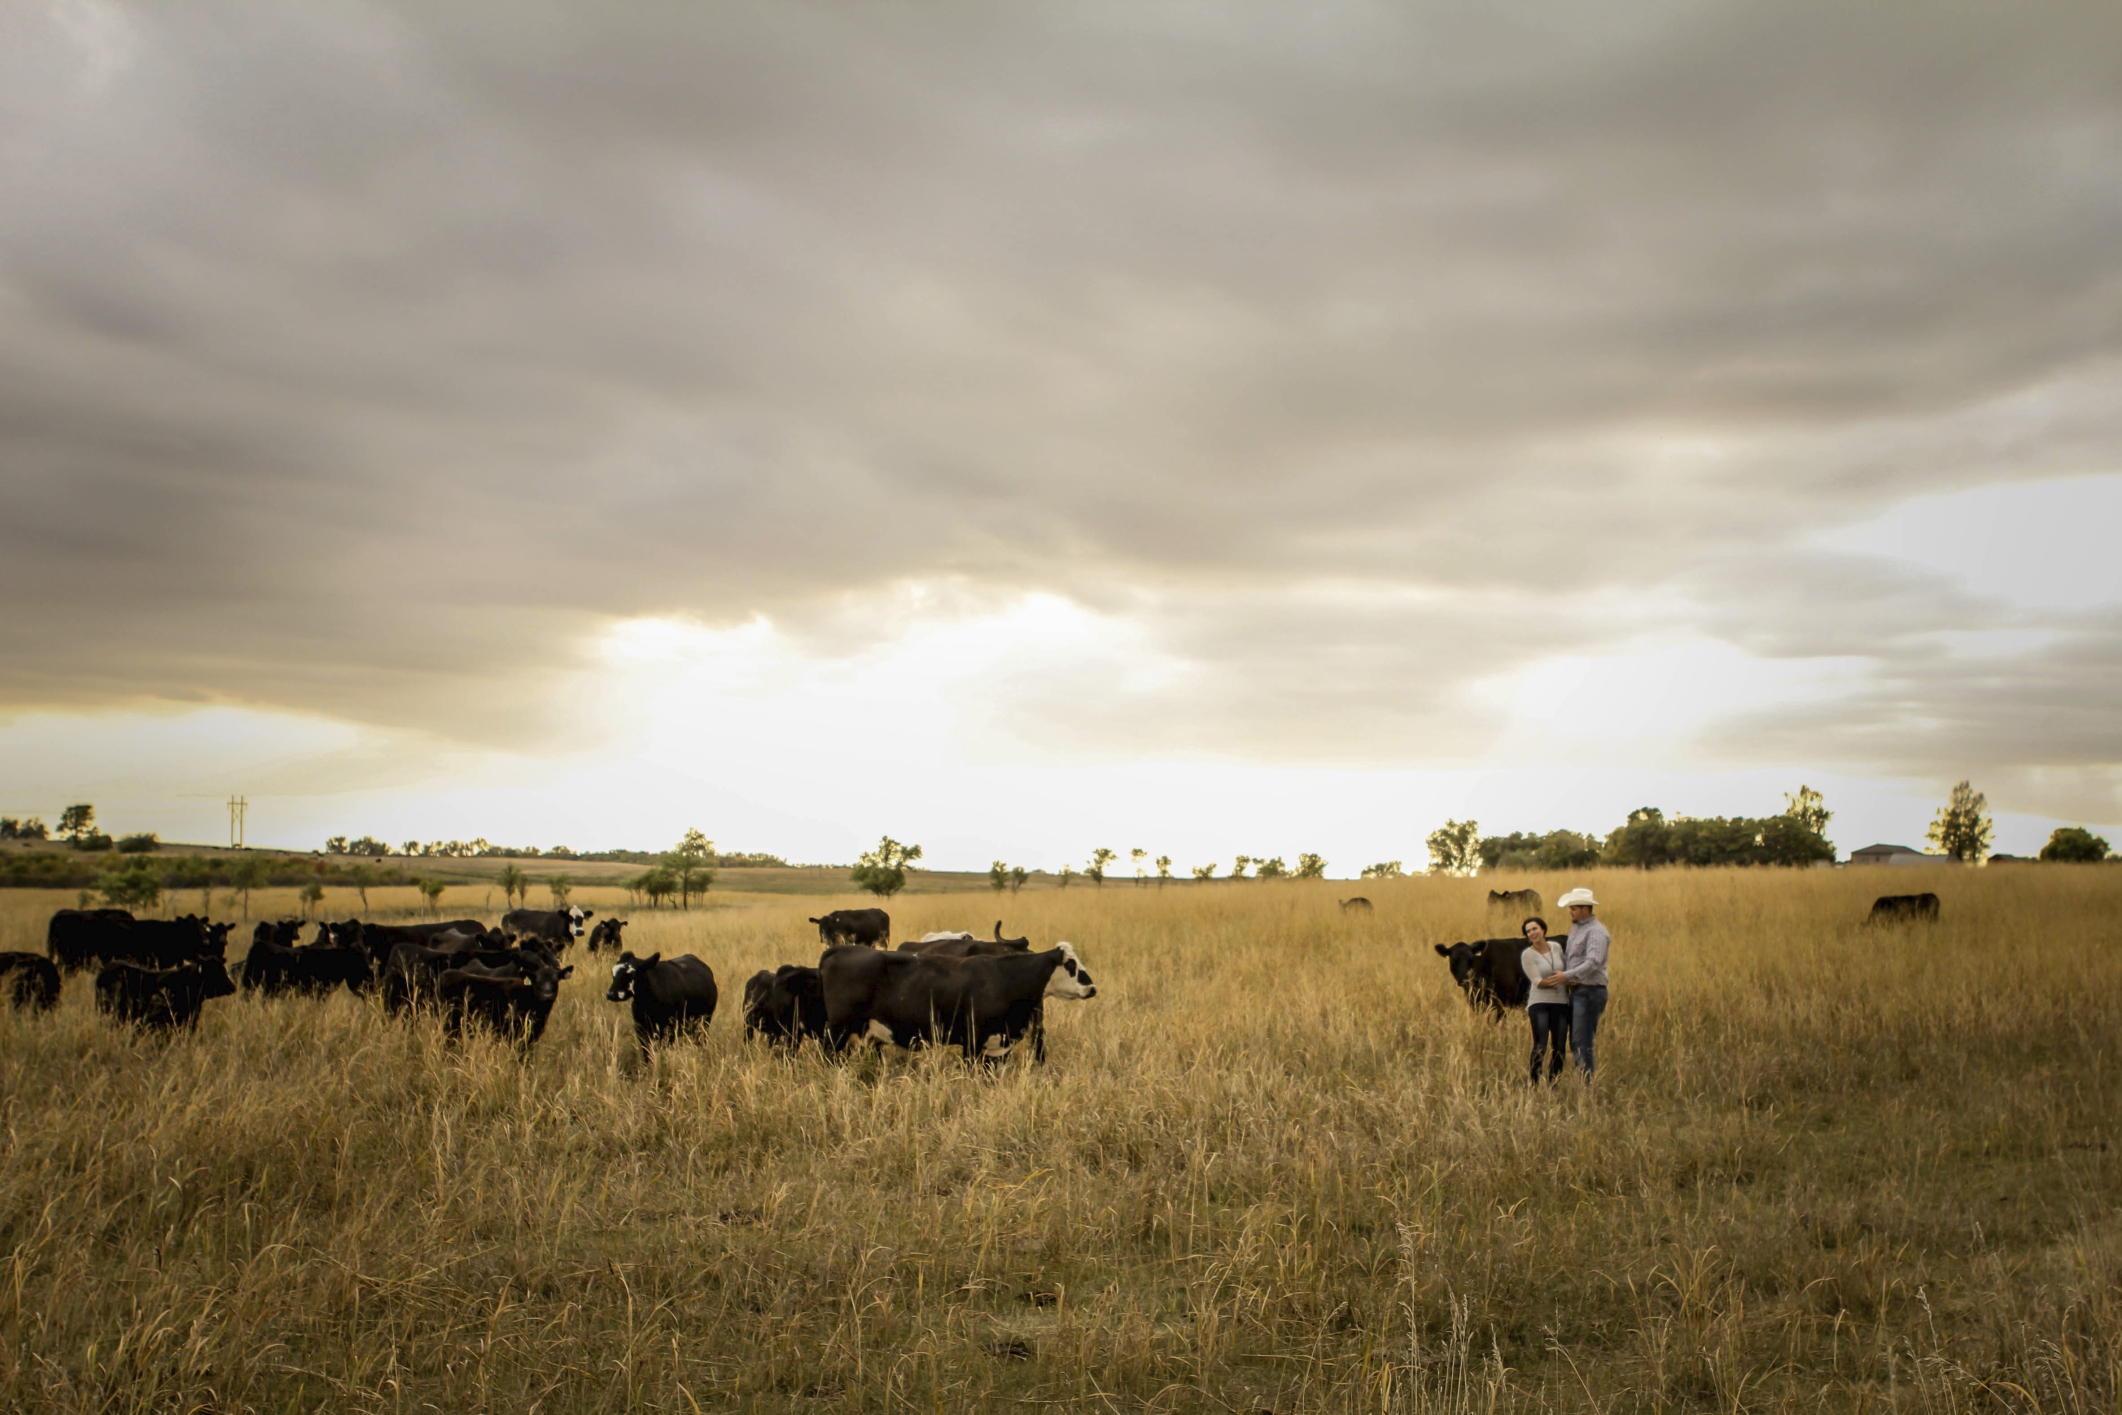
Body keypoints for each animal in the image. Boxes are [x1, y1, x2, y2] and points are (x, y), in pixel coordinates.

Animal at [819, 946, 1103, 1069]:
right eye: (1071, 964)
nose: (1092, 988)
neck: (1006, 978)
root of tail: (843, 949)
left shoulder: (998, 1047)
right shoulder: (972, 1044)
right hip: (837, 1032)